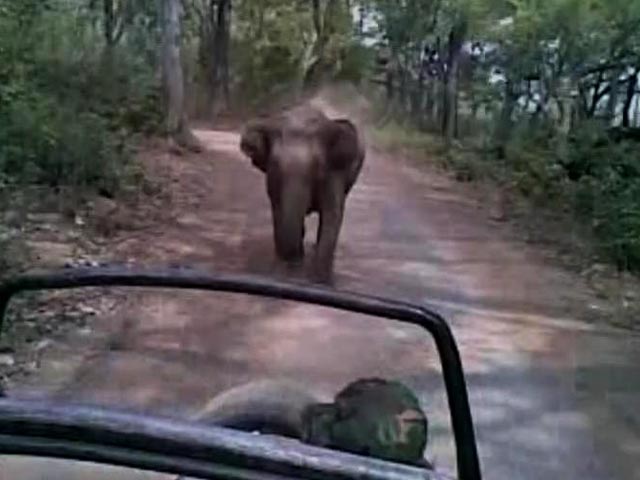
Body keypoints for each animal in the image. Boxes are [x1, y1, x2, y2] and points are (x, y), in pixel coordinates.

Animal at [240, 105, 364, 282]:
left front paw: (320, 280)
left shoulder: (334, 175)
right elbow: (278, 210)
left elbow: (332, 215)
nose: (291, 261)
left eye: (319, 166)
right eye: (275, 164)